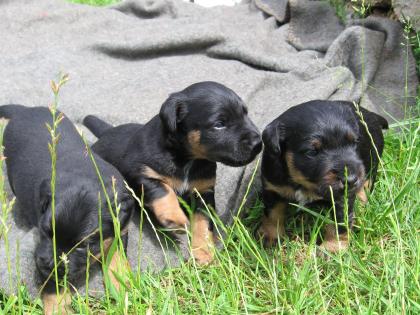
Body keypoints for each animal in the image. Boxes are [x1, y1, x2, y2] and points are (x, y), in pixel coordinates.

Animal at [0, 105, 133, 314]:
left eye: (83, 246)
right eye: (46, 232)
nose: (47, 263)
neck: (86, 173)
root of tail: (25, 109)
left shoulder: (122, 226)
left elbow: (116, 254)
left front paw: (122, 285)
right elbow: (54, 285)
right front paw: (57, 308)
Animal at [83, 81, 262, 264]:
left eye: (245, 113)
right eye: (219, 124)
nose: (258, 143)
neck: (188, 158)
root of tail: (106, 132)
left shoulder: (203, 191)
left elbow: (204, 221)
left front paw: (203, 251)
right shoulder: (139, 172)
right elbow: (163, 190)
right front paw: (174, 218)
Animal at [260, 100, 388, 253]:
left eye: (355, 142)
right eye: (311, 152)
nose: (351, 180)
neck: (303, 182)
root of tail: (371, 114)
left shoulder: (341, 198)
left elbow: (339, 224)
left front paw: (332, 249)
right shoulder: (272, 187)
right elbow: (273, 214)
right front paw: (270, 237)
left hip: (371, 165)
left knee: (365, 188)